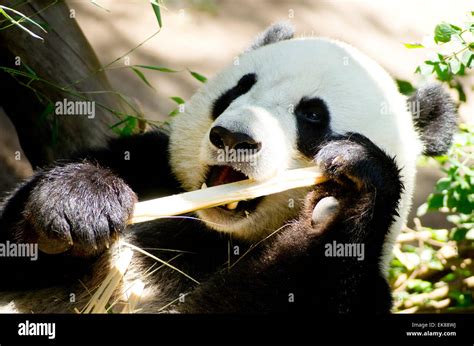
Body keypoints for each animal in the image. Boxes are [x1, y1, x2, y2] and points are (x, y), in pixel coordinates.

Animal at [0, 22, 456, 314]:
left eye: (312, 115)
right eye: (239, 88)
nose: (234, 138)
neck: (217, 236)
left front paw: (345, 198)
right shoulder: (151, 169)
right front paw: (79, 205)